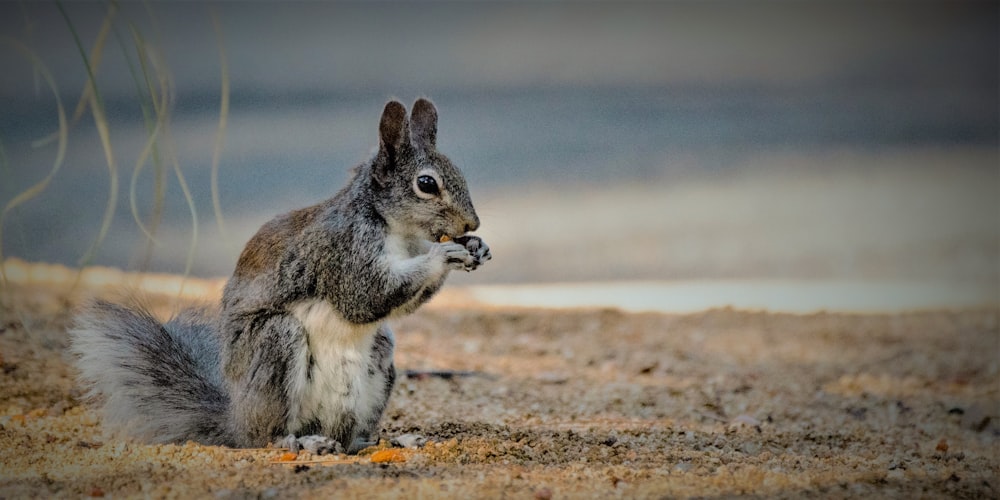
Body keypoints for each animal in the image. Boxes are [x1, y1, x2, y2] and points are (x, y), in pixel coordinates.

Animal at [70, 97, 492, 454]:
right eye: (426, 184)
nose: (471, 223)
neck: (396, 232)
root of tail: (236, 421)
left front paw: (476, 247)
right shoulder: (340, 250)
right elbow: (363, 296)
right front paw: (444, 254)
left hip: (378, 360)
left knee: (348, 436)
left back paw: (380, 441)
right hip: (276, 345)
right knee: (268, 436)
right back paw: (299, 442)